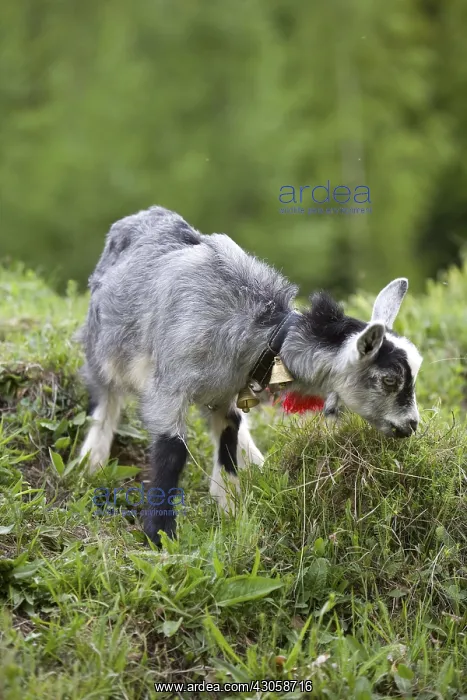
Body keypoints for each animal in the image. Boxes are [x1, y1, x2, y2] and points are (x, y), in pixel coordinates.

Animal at [78, 206, 423, 545]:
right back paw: (91, 463)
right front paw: (160, 535)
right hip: (102, 347)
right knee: (105, 399)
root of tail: (142, 216)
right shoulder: (169, 387)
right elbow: (172, 451)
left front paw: (230, 510)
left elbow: (229, 435)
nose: (411, 424)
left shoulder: (226, 394)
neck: (261, 332)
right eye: (389, 379)